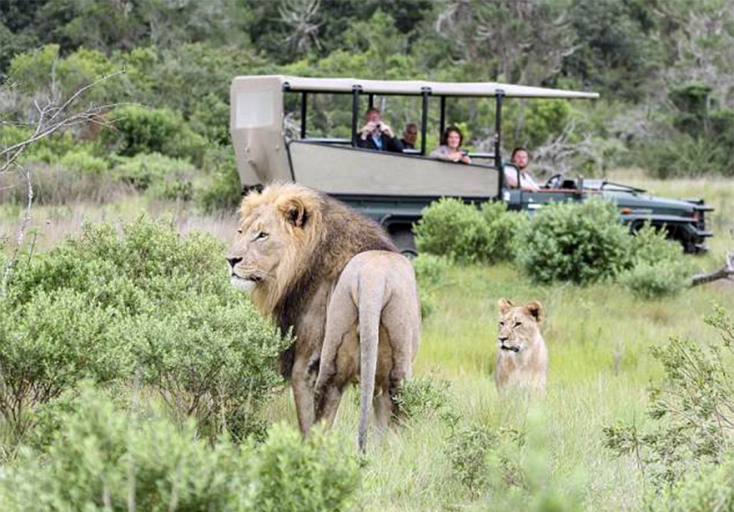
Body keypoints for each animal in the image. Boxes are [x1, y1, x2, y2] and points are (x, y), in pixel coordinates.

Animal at [226, 183, 420, 451]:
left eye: (262, 235)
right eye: (241, 231)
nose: (231, 260)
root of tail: (374, 278)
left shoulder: (304, 361)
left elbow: (306, 420)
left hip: (331, 359)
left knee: (323, 416)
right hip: (396, 368)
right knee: (389, 421)